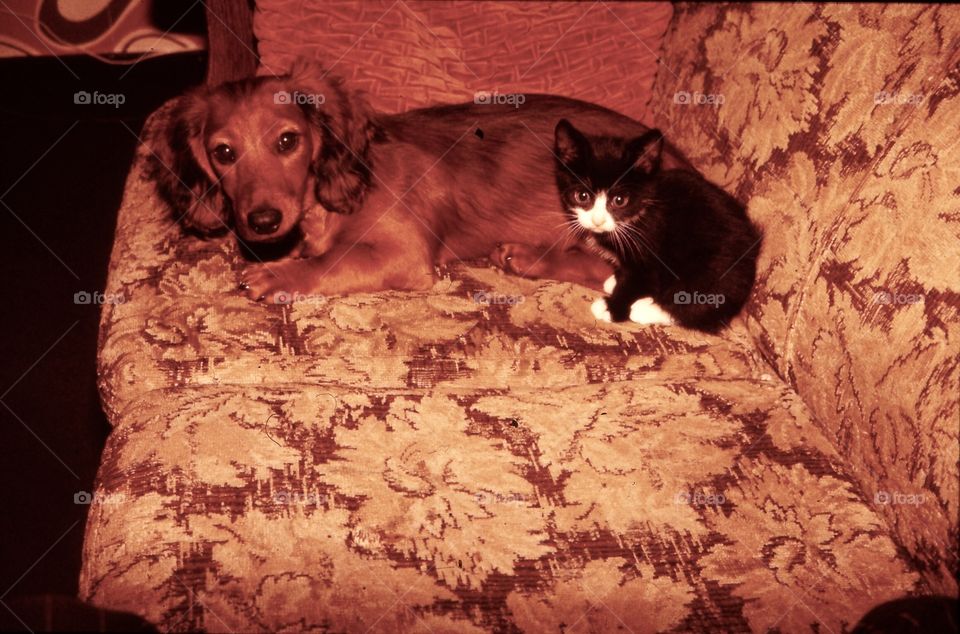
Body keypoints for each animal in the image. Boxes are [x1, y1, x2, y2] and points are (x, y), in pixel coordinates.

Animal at [152, 61, 688, 298]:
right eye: (223, 153)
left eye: (287, 141)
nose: (262, 221)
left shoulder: (402, 254)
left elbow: (332, 261)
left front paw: (281, 274)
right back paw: (527, 257)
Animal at [556, 117, 756, 330]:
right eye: (582, 196)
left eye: (619, 200)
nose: (598, 220)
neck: (638, 214)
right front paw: (616, 280)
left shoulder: (651, 250)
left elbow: (640, 280)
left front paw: (612, 307)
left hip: (713, 266)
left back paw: (646, 309)